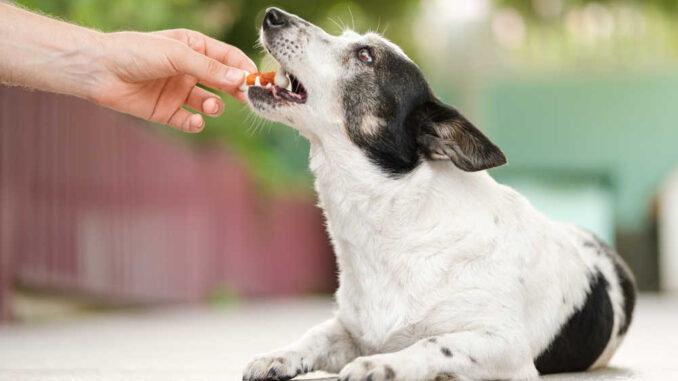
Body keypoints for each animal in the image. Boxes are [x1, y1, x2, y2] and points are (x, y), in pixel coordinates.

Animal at [243, 8, 636, 380]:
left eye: (366, 55)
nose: (272, 15)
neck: (396, 224)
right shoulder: (350, 330)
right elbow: (315, 335)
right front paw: (278, 356)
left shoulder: (505, 344)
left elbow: (432, 343)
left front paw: (382, 365)